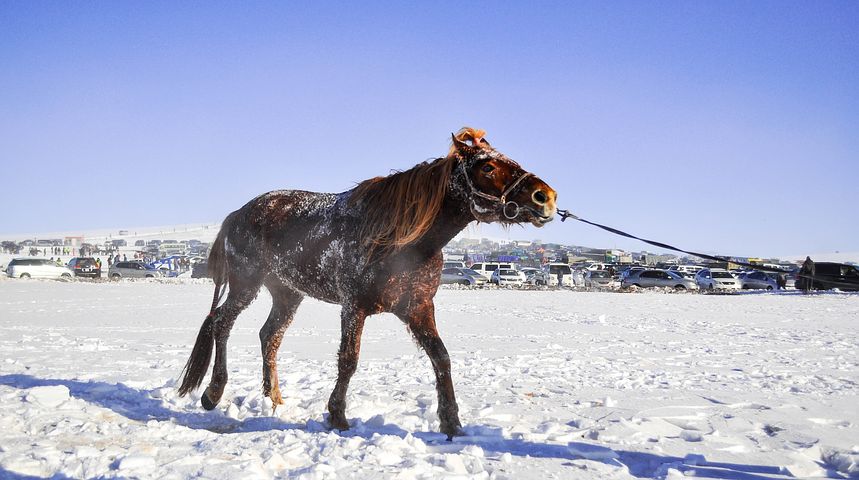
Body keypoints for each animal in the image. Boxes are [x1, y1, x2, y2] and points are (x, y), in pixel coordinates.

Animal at [178, 127, 560, 438]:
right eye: (487, 167)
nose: (545, 197)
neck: (403, 240)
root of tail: (239, 214)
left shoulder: (419, 308)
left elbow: (441, 358)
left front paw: (451, 423)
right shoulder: (354, 307)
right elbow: (349, 359)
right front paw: (337, 416)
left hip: (287, 293)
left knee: (269, 335)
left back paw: (274, 396)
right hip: (246, 284)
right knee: (221, 323)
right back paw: (213, 392)